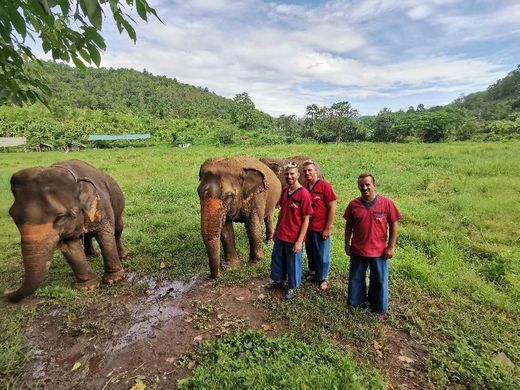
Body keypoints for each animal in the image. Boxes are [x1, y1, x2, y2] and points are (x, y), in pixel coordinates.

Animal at [3, 158, 127, 302]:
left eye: (61, 217)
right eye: (13, 217)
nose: (6, 291)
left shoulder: (102, 204)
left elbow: (105, 234)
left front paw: (115, 280)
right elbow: (70, 245)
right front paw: (88, 287)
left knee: (117, 230)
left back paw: (122, 255)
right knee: (87, 235)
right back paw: (90, 257)